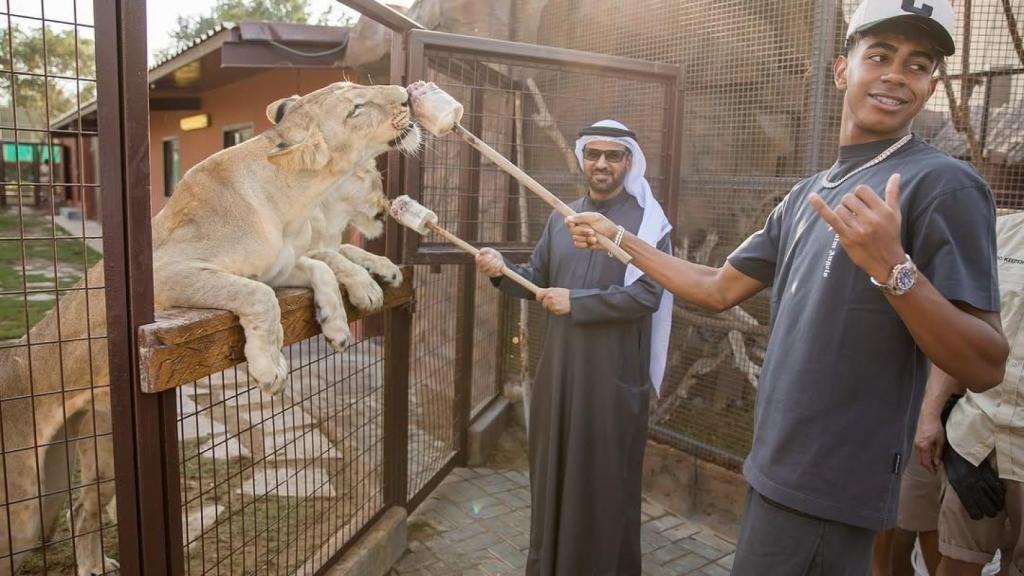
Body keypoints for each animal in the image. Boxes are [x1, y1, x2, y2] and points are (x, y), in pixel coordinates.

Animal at [0, 82, 420, 576]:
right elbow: (266, 291)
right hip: (22, 510)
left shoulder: (280, 267)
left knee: (82, 509)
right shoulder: (165, 273)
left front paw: (336, 322)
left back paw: (93, 564)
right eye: (355, 108)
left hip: (90, 458)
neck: (295, 199)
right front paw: (269, 367)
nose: (406, 97)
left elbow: (321, 265)